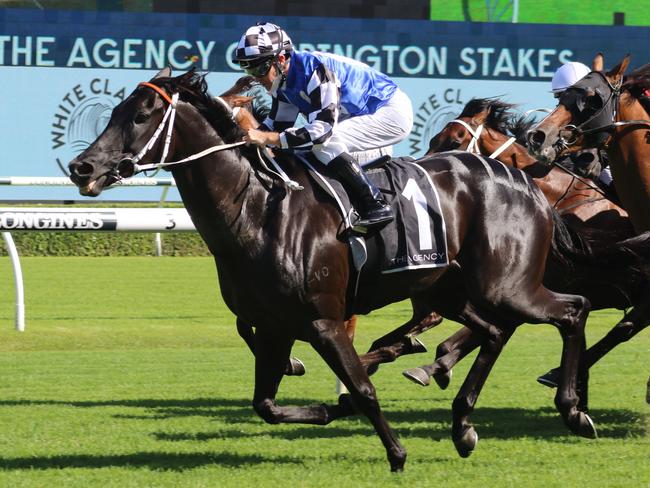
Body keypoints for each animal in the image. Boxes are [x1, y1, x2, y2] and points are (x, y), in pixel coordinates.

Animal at [67, 68, 596, 468]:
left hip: (506, 285)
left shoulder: (324, 319)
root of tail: (526, 183)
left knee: (572, 309)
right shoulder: (274, 324)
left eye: (140, 116)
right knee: (494, 331)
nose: (82, 168)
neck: (258, 209)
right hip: (450, 290)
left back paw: (573, 411)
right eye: (114, 113)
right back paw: (462, 423)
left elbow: (362, 388)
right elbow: (266, 405)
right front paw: (326, 406)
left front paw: (396, 452)